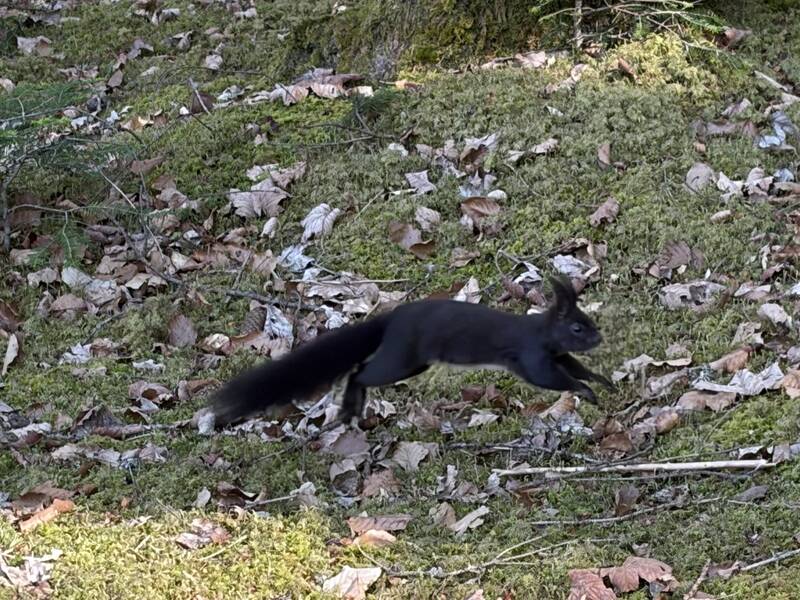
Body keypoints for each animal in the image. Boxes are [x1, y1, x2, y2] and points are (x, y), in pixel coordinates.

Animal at [211, 276, 613, 427]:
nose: (599, 338)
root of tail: (392, 319)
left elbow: (574, 367)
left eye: (588, 321)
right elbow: (550, 379)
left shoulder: (557, 355)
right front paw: (584, 391)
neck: (543, 333)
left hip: (412, 362)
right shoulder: (532, 356)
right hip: (401, 358)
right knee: (361, 372)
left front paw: (601, 381)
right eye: (577, 327)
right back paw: (352, 401)